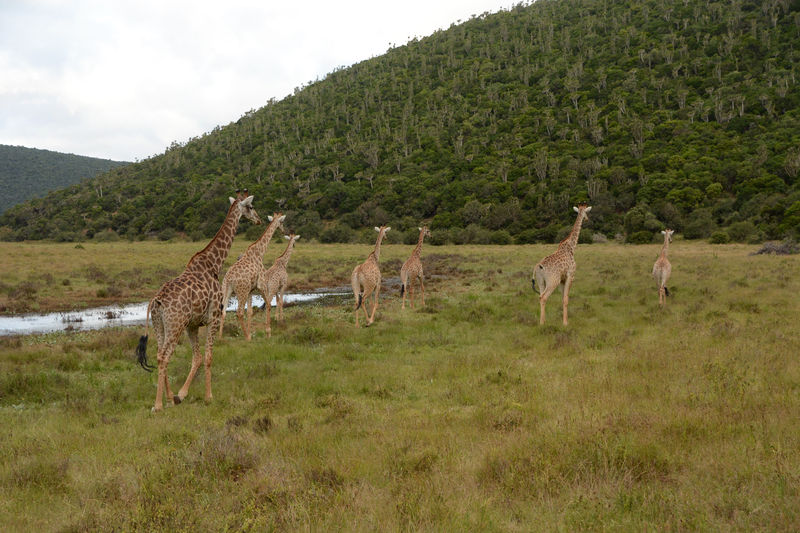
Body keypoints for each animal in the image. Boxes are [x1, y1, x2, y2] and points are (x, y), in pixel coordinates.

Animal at [135, 191, 262, 412]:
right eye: (251, 206)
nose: (259, 220)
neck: (214, 263)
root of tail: (156, 300)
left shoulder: (192, 325)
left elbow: (197, 357)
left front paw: (180, 395)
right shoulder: (213, 317)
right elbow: (209, 357)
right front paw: (208, 396)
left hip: (160, 326)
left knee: (159, 354)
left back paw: (168, 397)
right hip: (175, 325)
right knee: (164, 356)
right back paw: (158, 405)